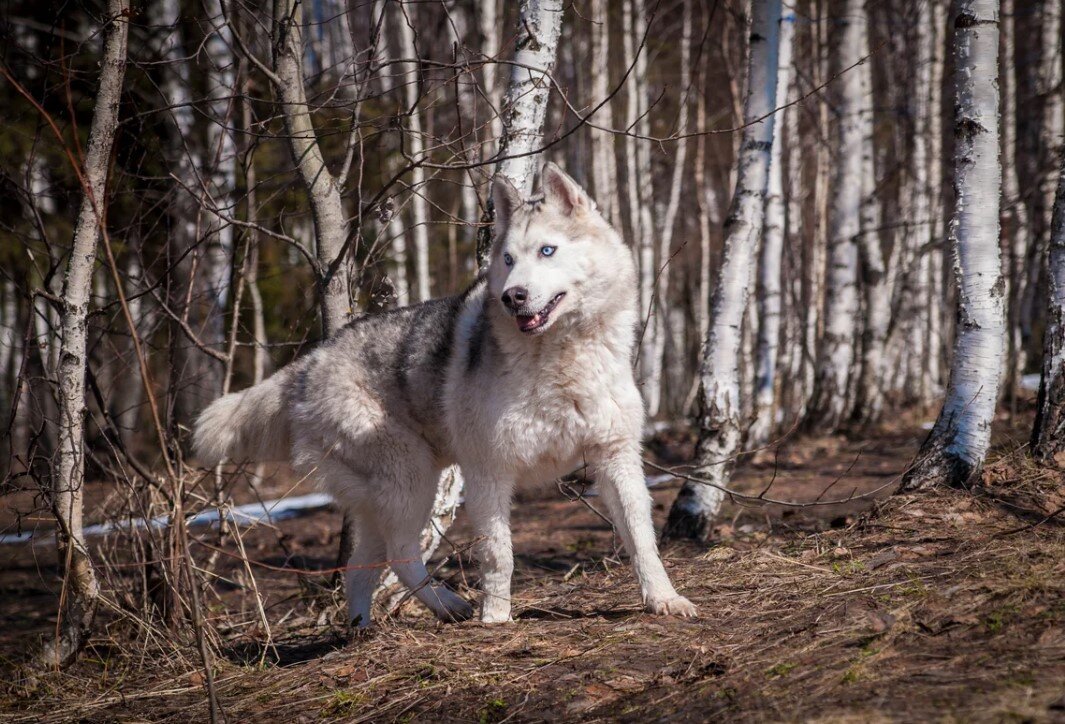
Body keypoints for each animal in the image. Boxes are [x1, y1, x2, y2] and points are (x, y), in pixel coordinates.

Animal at [194, 163, 694, 621]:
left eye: (547, 251)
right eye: (508, 260)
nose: (512, 296)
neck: (562, 357)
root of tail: (308, 363)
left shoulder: (616, 456)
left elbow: (641, 539)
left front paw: (663, 599)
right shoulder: (488, 471)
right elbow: (498, 555)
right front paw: (495, 618)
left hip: (393, 494)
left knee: (361, 566)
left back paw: (360, 629)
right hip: (412, 482)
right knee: (401, 556)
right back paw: (448, 605)